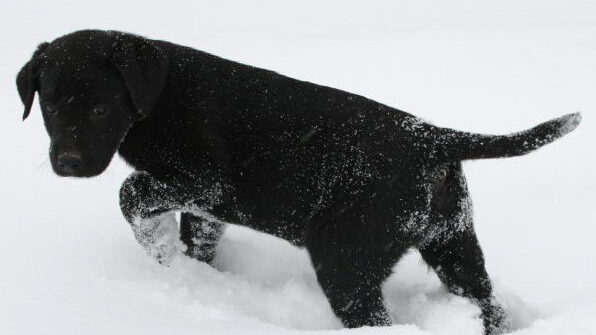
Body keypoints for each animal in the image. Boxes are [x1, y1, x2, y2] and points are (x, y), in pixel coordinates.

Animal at [18, 30, 584, 334]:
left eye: (100, 107)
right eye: (49, 105)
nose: (68, 163)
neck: (158, 96)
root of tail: (433, 139)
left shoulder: (206, 182)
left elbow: (131, 193)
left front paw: (154, 247)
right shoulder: (203, 207)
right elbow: (197, 240)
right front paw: (186, 271)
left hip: (346, 261)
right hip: (455, 246)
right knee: (488, 304)